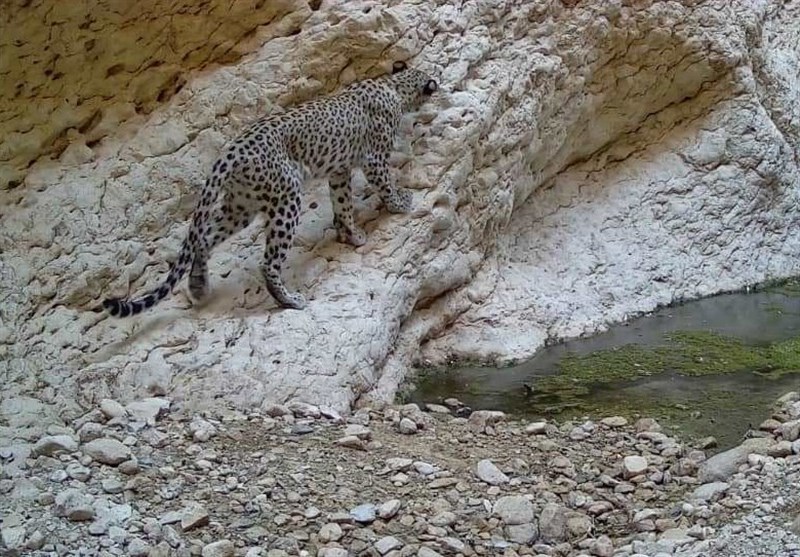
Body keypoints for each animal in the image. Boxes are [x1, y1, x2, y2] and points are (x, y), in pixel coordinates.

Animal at [101, 60, 438, 318]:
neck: (394, 85)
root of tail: (228, 153)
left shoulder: (339, 171)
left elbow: (342, 203)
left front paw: (351, 235)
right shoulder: (373, 158)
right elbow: (384, 184)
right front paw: (400, 203)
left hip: (240, 206)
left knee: (204, 239)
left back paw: (199, 287)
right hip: (286, 198)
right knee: (267, 262)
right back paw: (290, 300)